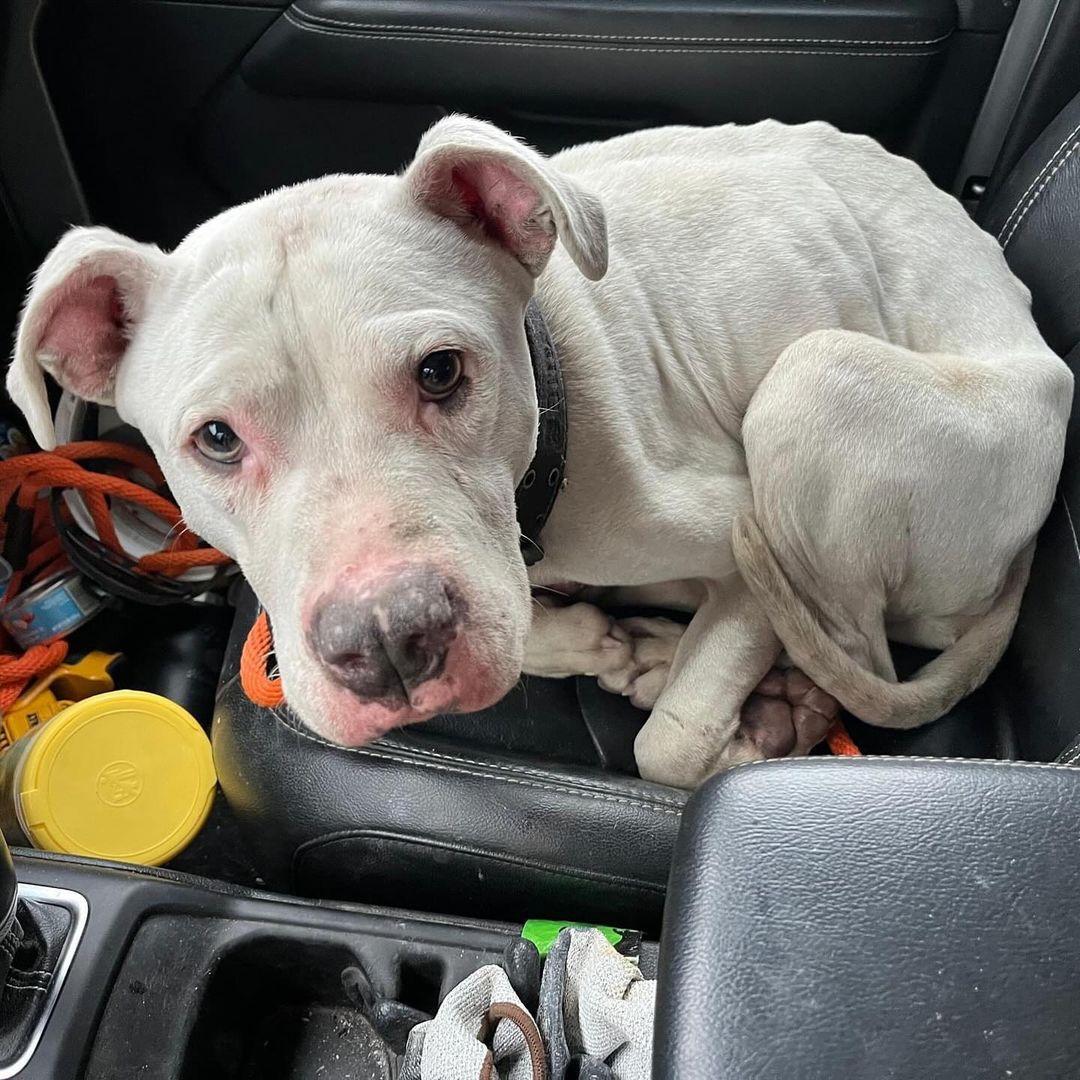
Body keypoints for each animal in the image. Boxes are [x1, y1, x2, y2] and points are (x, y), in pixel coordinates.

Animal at [8, 120, 1071, 786]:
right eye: (217, 439)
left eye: (442, 372)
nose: (387, 643)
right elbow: (532, 626)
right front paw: (595, 642)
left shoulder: (736, 538)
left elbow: (669, 748)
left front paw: (748, 729)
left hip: (814, 382)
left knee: (856, 647)